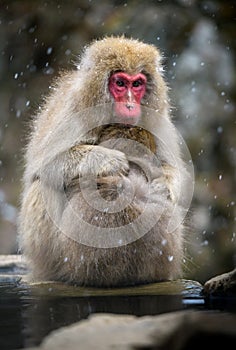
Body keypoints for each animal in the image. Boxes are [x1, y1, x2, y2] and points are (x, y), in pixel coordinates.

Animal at [18, 36, 190, 288]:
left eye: (137, 84)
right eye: (119, 82)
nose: (130, 105)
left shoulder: (158, 121)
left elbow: (171, 168)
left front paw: (163, 185)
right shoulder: (74, 111)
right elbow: (46, 166)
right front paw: (107, 159)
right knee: (43, 186)